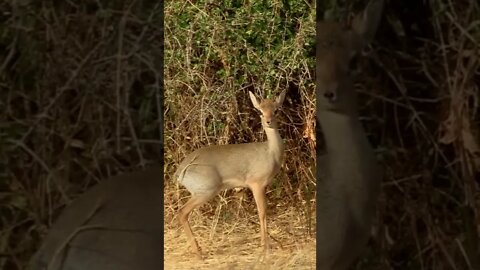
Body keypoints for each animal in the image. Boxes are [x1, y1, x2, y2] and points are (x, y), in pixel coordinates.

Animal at [178, 90, 286, 258]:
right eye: (260, 111)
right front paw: (265, 247)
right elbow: (262, 212)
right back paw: (199, 253)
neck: (271, 152)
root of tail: (181, 170)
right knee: (182, 212)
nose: (268, 121)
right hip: (205, 192)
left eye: (276, 110)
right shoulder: (256, 185)